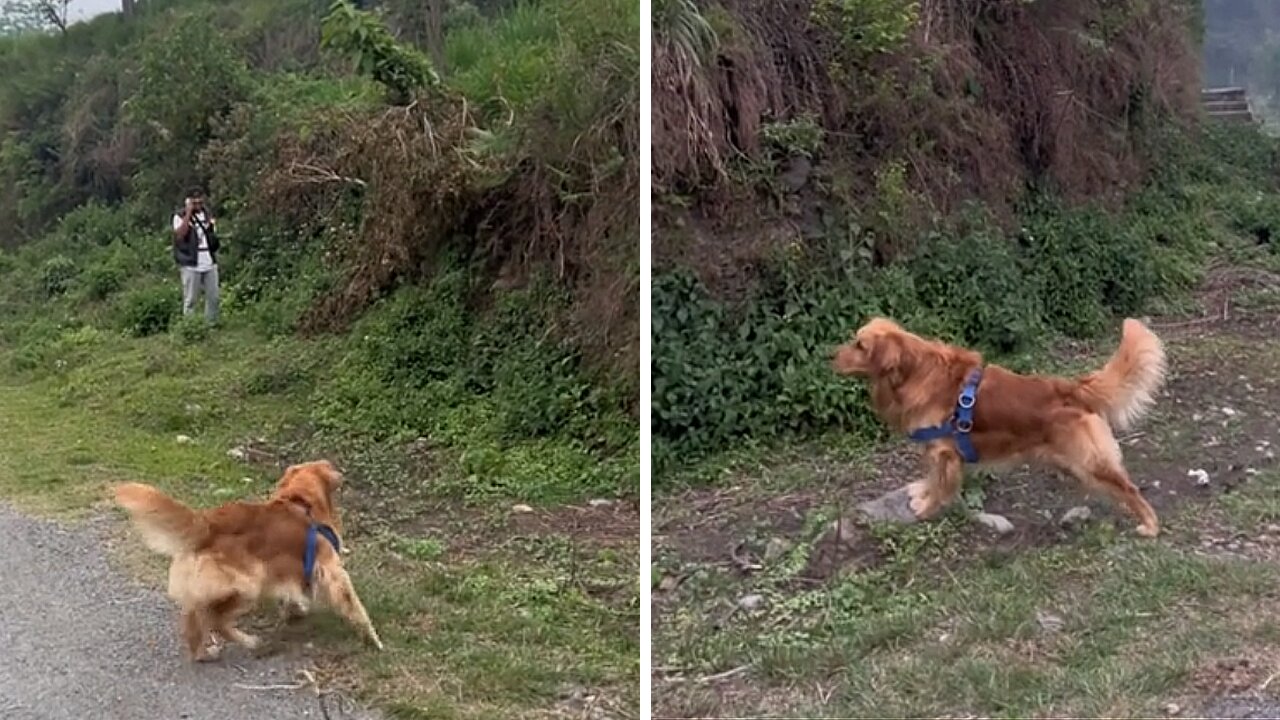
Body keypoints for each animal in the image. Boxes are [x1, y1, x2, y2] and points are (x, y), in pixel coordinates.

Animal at [112, 458, 381, 655]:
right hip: (250, 584)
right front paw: (373, 639)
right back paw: (248, 641)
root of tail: (206, 525)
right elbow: (355, 608)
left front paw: (296, 611)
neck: (301, 501)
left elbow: (293, 596)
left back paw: (203, 653)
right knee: (216, 620)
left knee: (193, 621)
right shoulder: (331, 570)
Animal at [834, 316, 1167, 535]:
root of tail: (1068, 388)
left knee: (1129, 487)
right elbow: (931, 476)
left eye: (860, 345)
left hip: (1089, 462)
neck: (914, 372)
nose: (830, 356)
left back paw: (1149, 525)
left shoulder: (944, 452)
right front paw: (922, 491)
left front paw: (927, 507)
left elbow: (942, 486)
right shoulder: (935, 450)